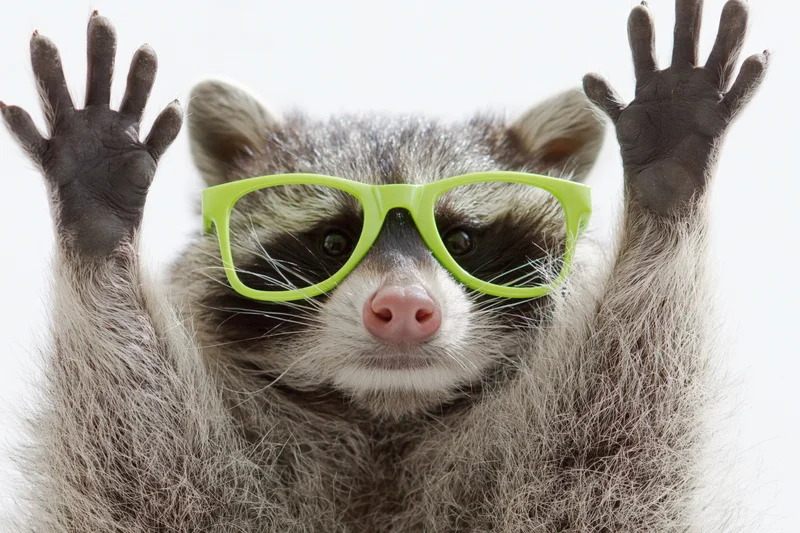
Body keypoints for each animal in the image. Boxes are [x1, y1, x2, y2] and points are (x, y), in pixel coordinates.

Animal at [2, 1, 768, 532]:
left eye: (461, 239)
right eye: (333, 242)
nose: (401, 308)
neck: (385, 421)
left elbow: (617, 457)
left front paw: (665, 192)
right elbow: (143, 481)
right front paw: (100, 224)